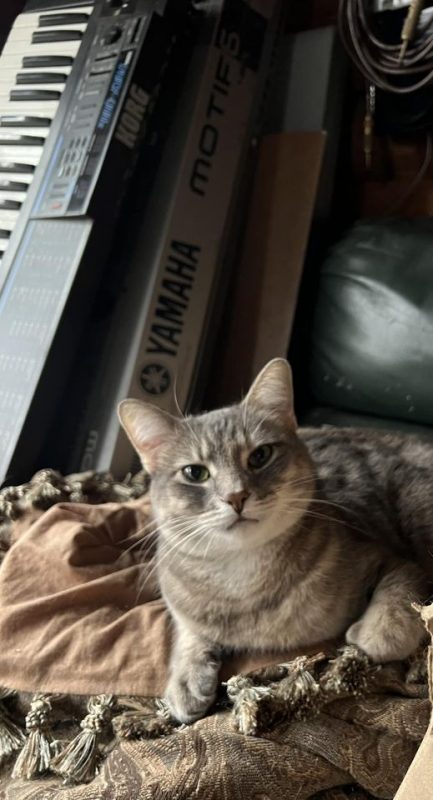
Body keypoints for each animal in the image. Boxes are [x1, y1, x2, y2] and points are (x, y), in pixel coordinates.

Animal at [117, 360, 428, 724]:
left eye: (260, 455)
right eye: (195, 473)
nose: (236, 496)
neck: (243, 581)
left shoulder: (391, 558)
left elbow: (397, 592)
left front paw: (379, 633)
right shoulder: (182, 605)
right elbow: (188, 631)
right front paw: (185, 679)